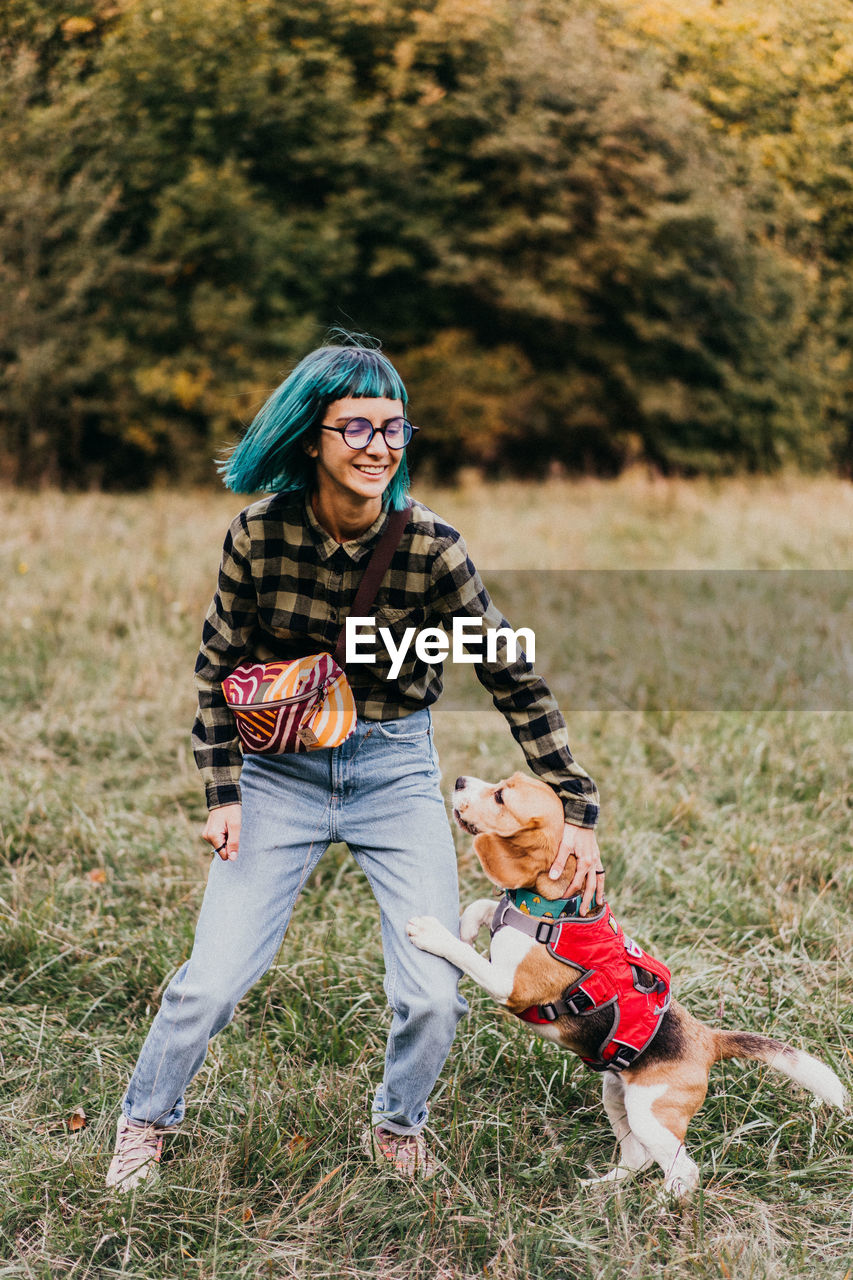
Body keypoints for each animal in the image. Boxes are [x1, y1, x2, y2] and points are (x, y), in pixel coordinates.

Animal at [407, 768, 845, 1198]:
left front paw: (433, 933)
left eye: (500, 797)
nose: (460, 781)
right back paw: (601, 1188)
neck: (553, 909)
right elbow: (484, 906)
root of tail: (707, 1039)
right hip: (616, 1096)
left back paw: (662, 1203)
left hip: (649, 1112)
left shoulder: (510, 987)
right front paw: (467, 927)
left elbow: (469, 954)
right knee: (637, 1156)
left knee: (683, 1168)